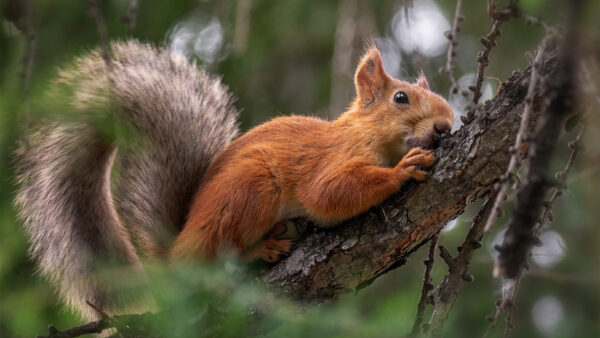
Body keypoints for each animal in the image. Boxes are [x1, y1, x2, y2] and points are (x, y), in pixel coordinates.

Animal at [171, 47, 452, 262]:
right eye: (401, 97)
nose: (444, 127)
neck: (365, 131)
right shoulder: (340, 152)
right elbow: (323, 191)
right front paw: (403, 169)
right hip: (246, 190)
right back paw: (261, 249)